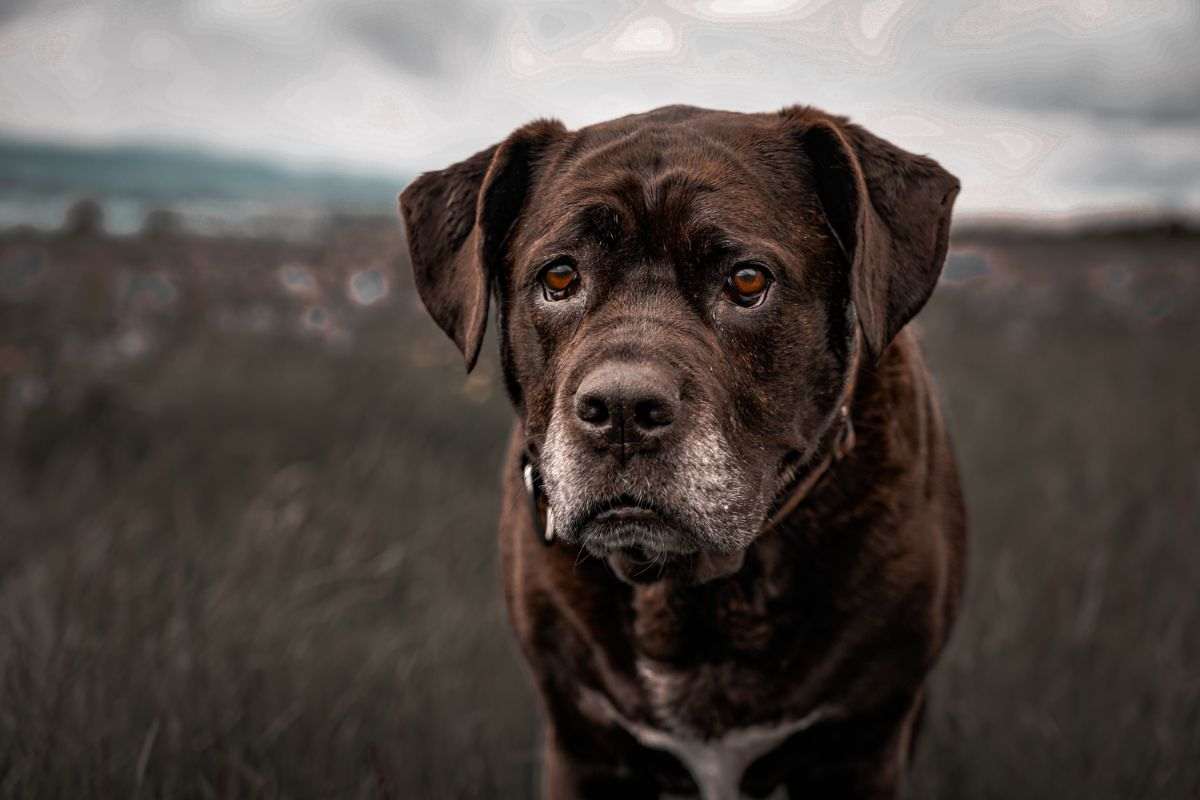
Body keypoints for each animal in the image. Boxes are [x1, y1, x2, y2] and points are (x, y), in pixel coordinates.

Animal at [400, 106, 964, 800]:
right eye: (559, 276)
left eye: (748, 280)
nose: (621, 409)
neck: (686, 589)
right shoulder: (584, 745)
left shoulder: (862, 744)